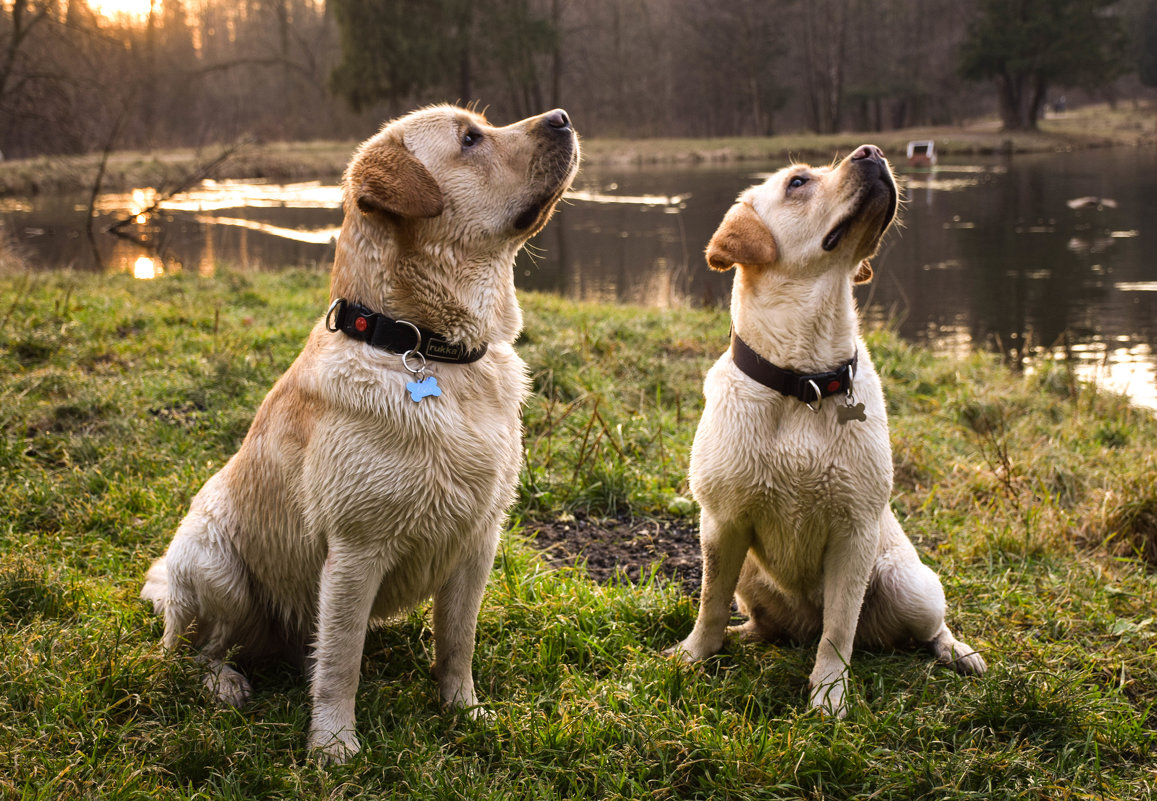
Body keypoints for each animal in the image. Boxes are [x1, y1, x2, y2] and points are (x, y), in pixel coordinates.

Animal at [142, 103, 578, 759]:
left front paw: (463, 711)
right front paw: (333, 744)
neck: (424, 348)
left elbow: (458, 642)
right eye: (469, 139)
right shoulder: (355, 550)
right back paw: (224, 682)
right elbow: (341, 662)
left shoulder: (478, 543)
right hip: (214, 567)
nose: (563, 117)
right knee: (194, 650)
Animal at [671, 147, 985, 717]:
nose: (873, 151)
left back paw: (959, 652)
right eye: (798, 183)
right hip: (750, 571)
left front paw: (829, 694)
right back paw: (743, 635)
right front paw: (695, 655)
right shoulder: (721, 525)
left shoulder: (854, 534)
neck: (806, 379)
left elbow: (839, 627)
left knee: (924, 629)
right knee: (764, 621)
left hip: (908, 583)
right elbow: (710, 602)